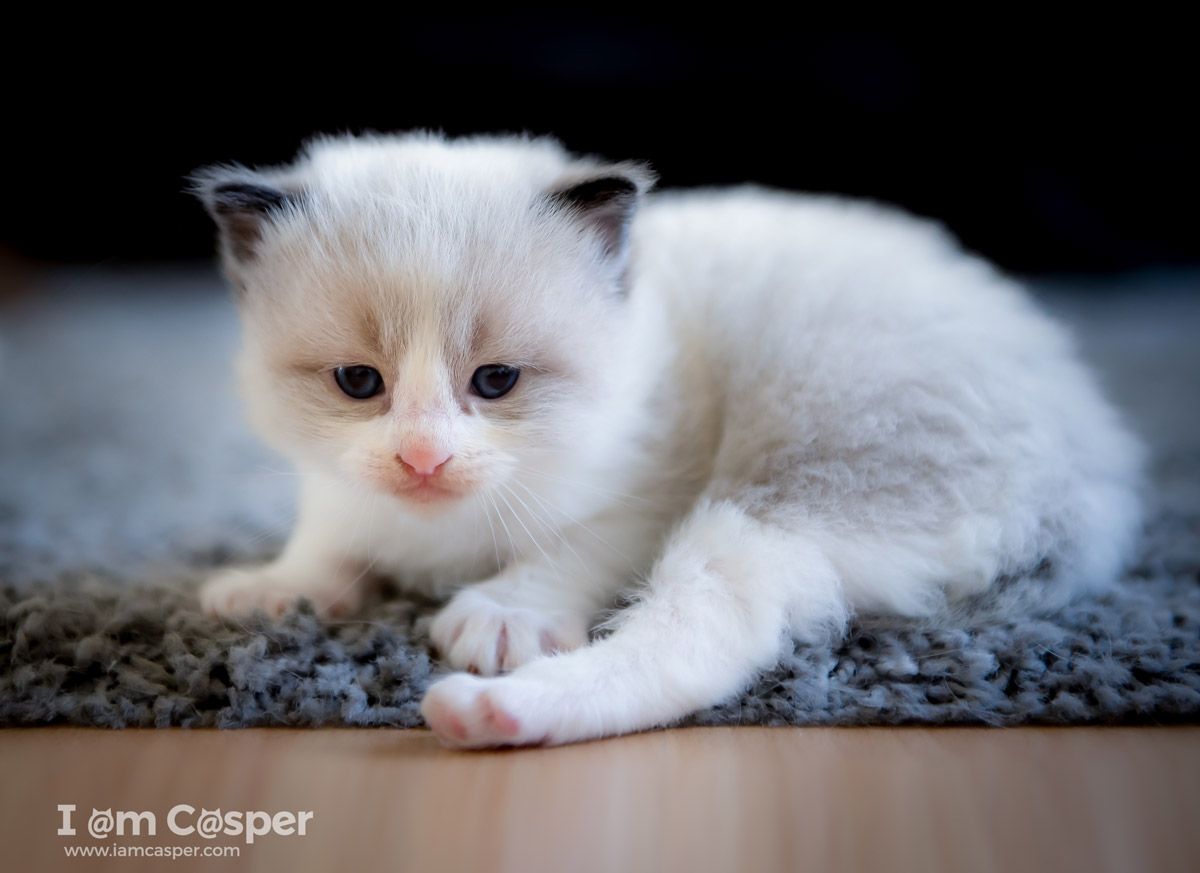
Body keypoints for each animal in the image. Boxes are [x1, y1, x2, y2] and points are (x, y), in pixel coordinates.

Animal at [192, 133, 1137, 748]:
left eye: (495, 382)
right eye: (359, 382)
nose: (423, 457)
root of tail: (1086, 481)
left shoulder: (646, 493)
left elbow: (566, 550)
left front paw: (506, 614)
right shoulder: (339, 482)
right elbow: (330, 527)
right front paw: (281, 589)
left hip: (784, 488)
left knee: (706, 636)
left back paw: (490, 711)